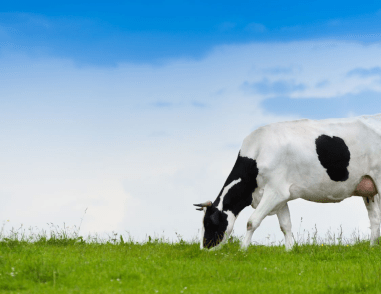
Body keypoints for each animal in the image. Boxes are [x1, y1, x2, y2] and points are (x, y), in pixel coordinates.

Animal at [194, 114, 380, 250]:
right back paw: (371, 247)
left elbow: (252, 222)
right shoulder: (281, 196)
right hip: (368, 188)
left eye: (209, 223)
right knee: (375, 218)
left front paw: (242, 250)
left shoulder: (275, 191)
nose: (204, 251)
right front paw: (289, 250)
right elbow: (286, 225)